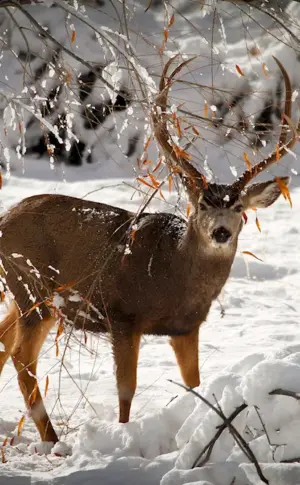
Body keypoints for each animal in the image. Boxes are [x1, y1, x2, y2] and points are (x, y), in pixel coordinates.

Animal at [0, 54, 298, 444]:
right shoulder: (123, 315)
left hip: (21, 293)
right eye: (201, 203)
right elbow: (127, 389)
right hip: (33, 287)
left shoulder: (187, 327)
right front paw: (124, 435)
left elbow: (195, 384)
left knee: (4, 342)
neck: (173, 277)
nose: (220, 232)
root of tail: (4, 219)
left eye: (237, 207)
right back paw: (53, 440)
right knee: (22, 357)